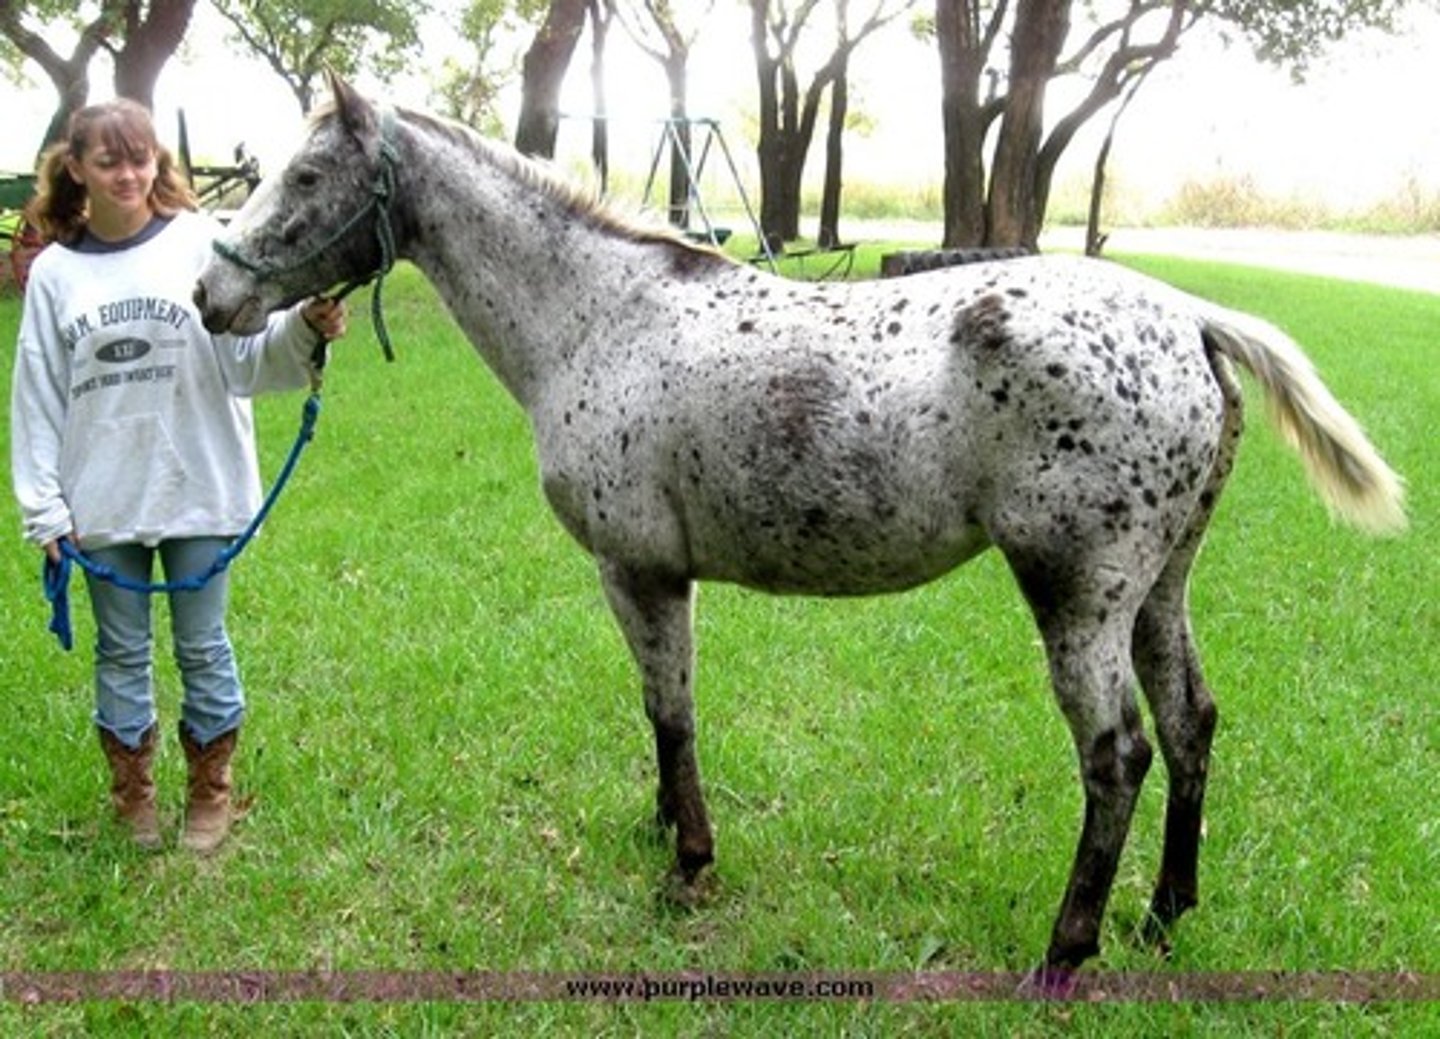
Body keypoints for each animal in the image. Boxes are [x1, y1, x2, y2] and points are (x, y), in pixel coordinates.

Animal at [194, 72, 1406, 977]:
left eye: (306, 175)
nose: (213, 297)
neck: (599, 317)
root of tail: (1190, 318)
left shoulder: (639, 570)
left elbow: (670, 710)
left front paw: (688, 861)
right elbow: (661, 714)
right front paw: (661, 829)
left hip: (1077, 593)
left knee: (1117, 752)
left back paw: (1067, 953)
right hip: (1159, 585)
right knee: (1192, 722)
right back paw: (1161, 917)